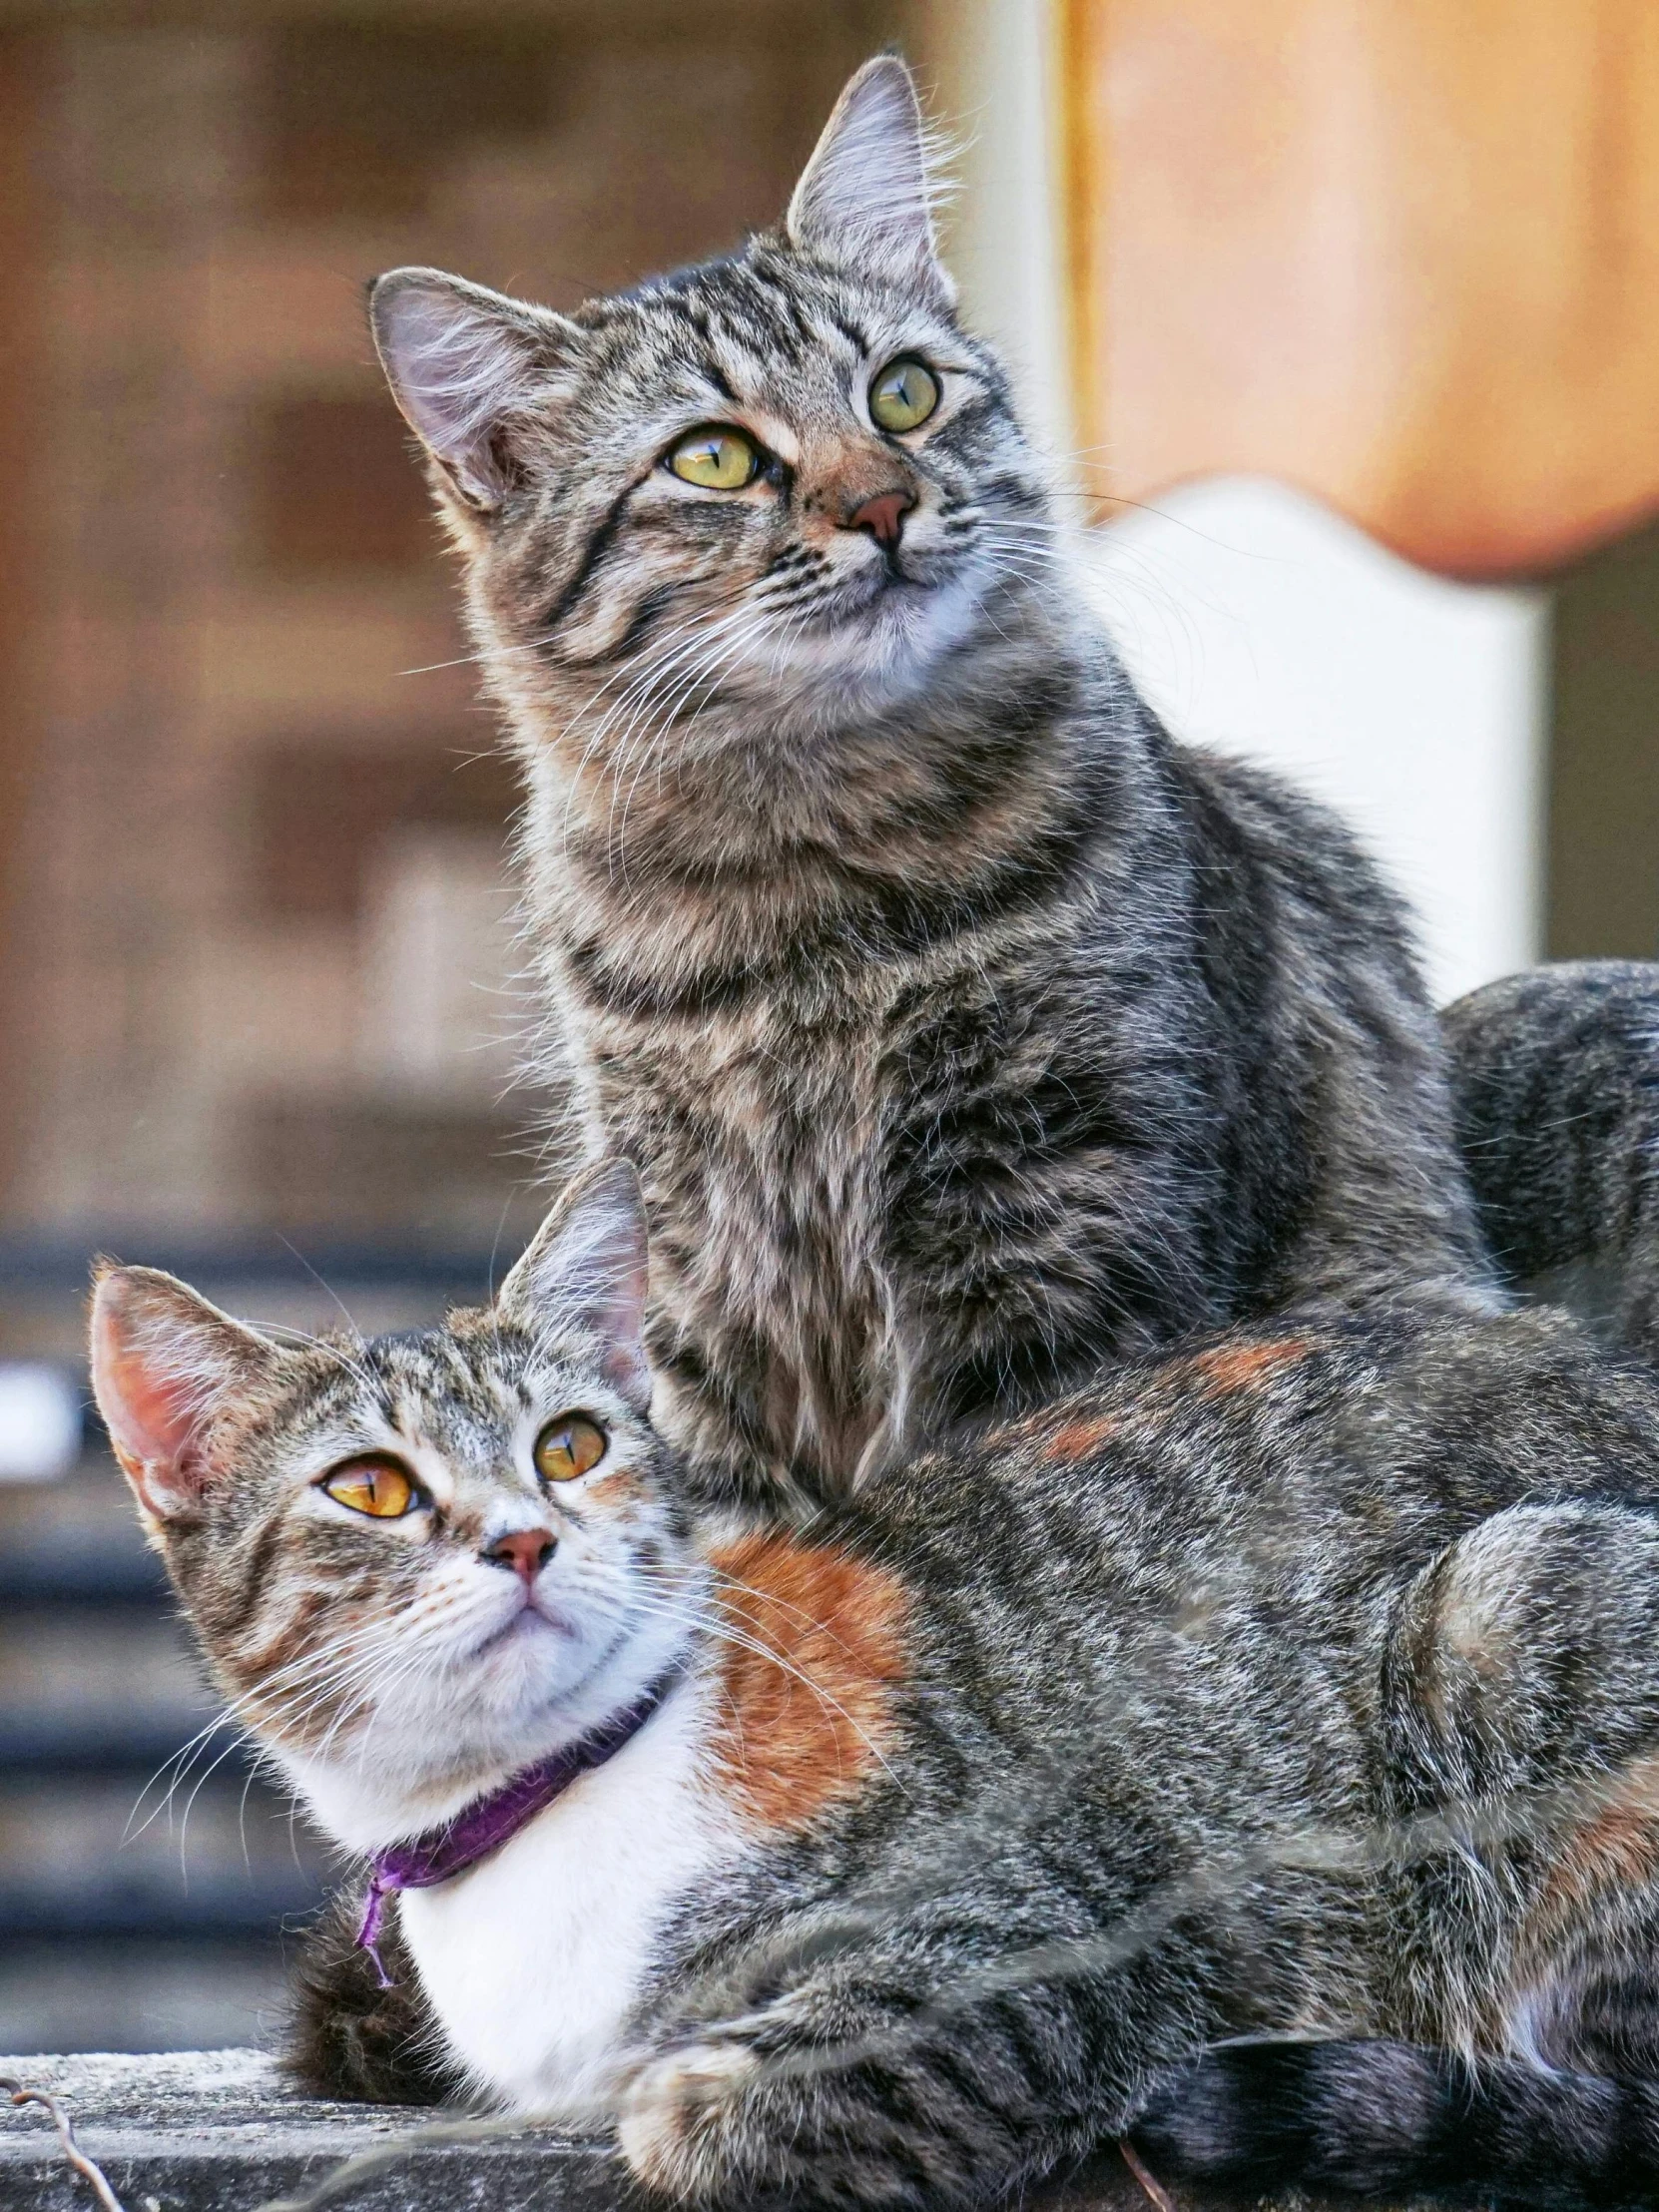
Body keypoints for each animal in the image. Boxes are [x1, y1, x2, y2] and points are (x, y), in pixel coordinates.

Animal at [90, 1168, 1659, 2203]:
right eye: (370, 1486)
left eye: (570, 1447)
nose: (526, 1538)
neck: (550, 1800)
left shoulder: (1075, 1922)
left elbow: (715, 2105)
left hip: (1505, 1606)